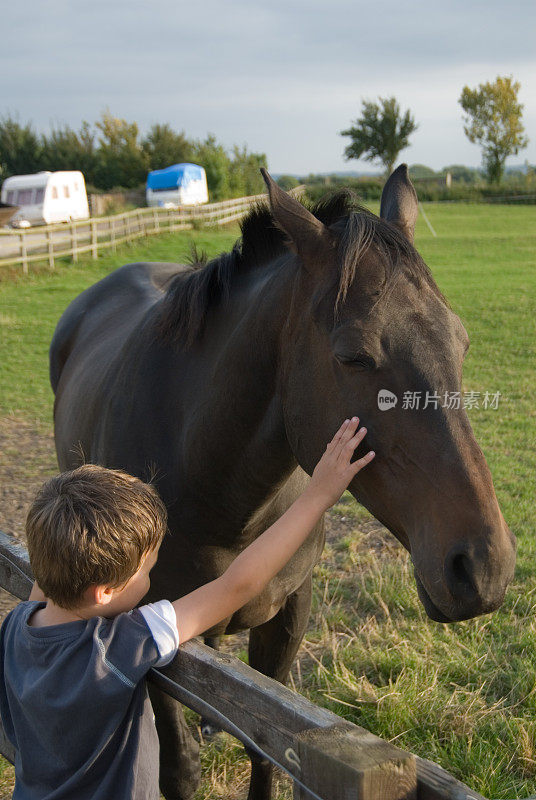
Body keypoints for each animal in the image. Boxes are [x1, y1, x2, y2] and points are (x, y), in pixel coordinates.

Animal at [50, 166, 516, 796]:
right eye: (352, 355)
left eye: (461, 341)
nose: (485, 568)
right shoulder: (146, 632)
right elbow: (181, 764)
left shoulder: (289, 616)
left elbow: (267, 748)